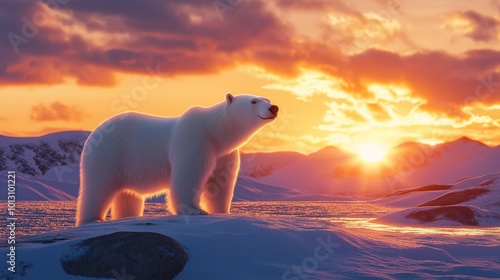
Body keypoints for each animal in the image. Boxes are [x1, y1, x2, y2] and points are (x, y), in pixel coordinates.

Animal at [75, 93, 278, 225]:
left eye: (267, 99)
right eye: (253, 101)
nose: (274, 107)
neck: (215, 131)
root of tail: (94, 133)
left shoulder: (223, 153)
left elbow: (221, 181)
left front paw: (222, 210)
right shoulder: (194, 139)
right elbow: (189, 175)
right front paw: (195, 210)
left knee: (127, 196)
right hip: (108, 155)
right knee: (98, 188)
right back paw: (92, 219)